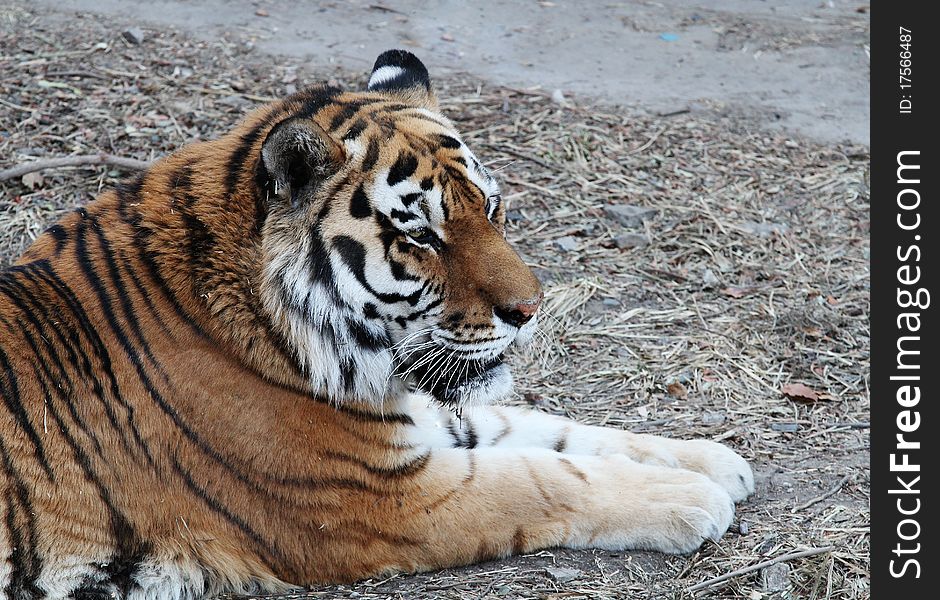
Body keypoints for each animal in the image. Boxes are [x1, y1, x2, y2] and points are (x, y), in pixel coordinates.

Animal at [0, 51, 748, 600]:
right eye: (421, 236)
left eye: (493, 208)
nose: (530, 311)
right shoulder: (383, 499)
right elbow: (540, 477)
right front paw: (691, 497)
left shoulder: (410, 418)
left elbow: (552, 430)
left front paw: (714, 460)